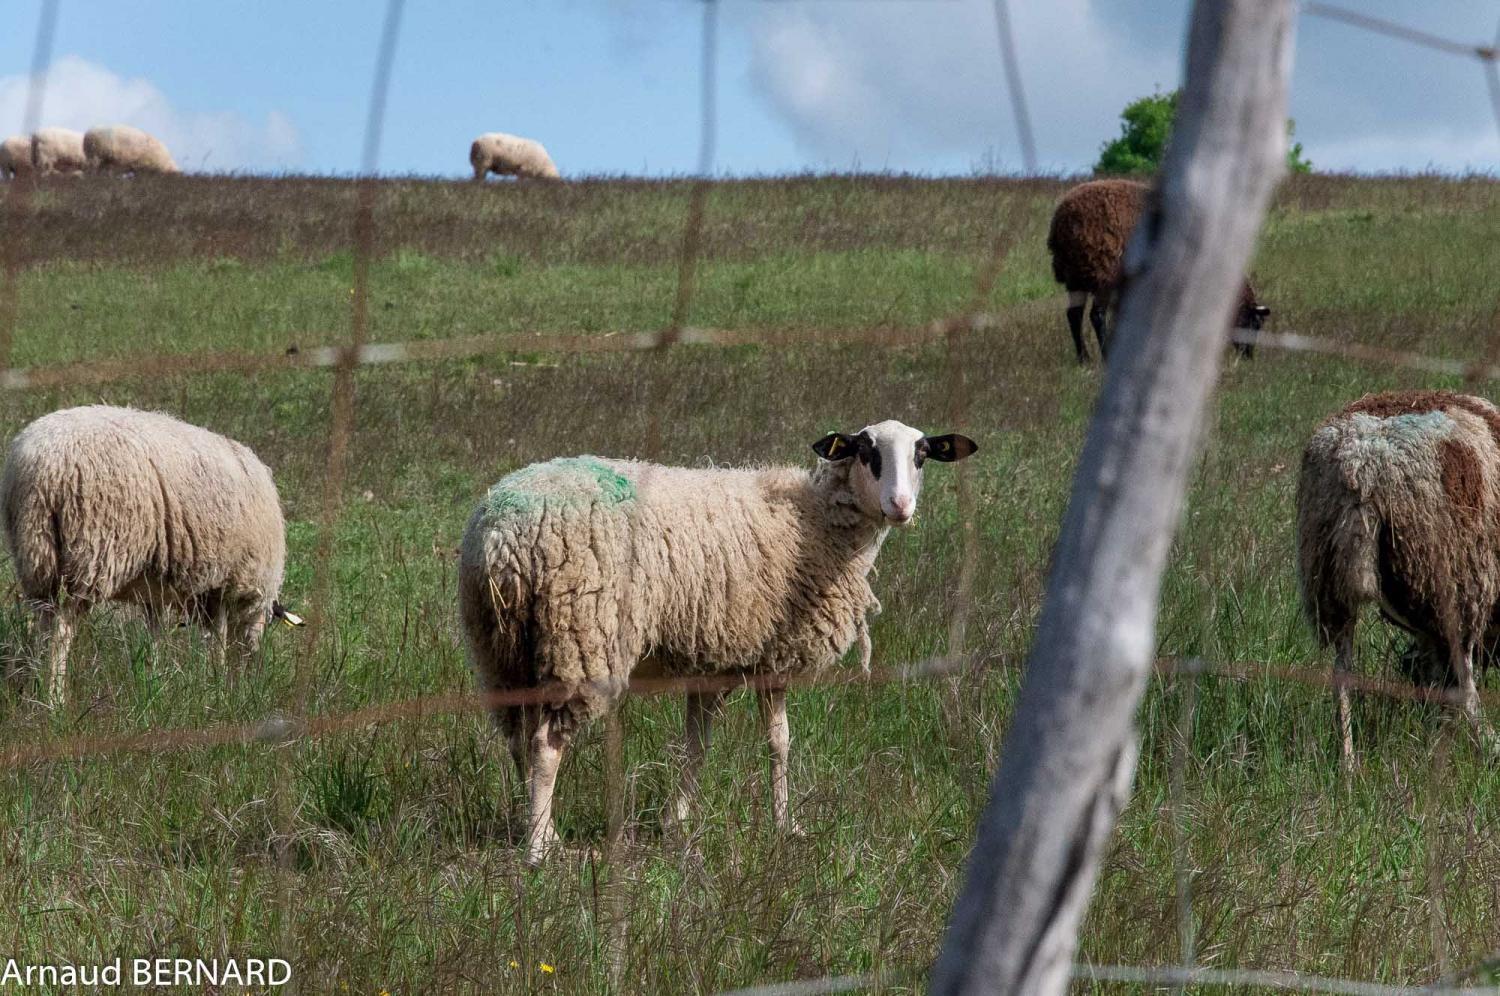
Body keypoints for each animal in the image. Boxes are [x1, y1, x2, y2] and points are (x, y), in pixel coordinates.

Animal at [1, 405, 291, 706]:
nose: (250, 679)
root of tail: (37, 466)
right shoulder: (225, 585)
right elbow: (217, 641)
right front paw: (218, 686)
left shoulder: (160, 592)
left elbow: (156, 635)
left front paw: (154, 682)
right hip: (88, 552)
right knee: (61, 631)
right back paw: (54, 698)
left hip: (37, 554)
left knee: (42, 623)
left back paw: (35, 686)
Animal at [458, 420, 977, 863]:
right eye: (867, 451)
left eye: (922, 455)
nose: (901, 507)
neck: (815, 521)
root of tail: (504, 535)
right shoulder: (772, 654)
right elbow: (778, 742)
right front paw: (784, 826)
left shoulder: (712, 659)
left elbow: (700, 744)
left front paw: (677, 821)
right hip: (582, 638)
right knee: (546, 745)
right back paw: (539, 850)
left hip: (501, 647)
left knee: (519, 740)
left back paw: (535, 827)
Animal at [1047, 178, 1270, 364]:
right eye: (1255, 323)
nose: (1248, 358)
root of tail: (1063, 222)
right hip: (1103, 273)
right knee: (1096, 315)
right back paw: (1105, 357)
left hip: (1075, 275)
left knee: (1074, 314)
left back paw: (1083, 358)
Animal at [1296, 389, 1500, 767]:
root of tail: (1362, 462)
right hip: (1453, 577)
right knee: (1464, 679)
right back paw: (1491, 745)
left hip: (1328, 577)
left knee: (1342, 670)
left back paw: (1348, 763)